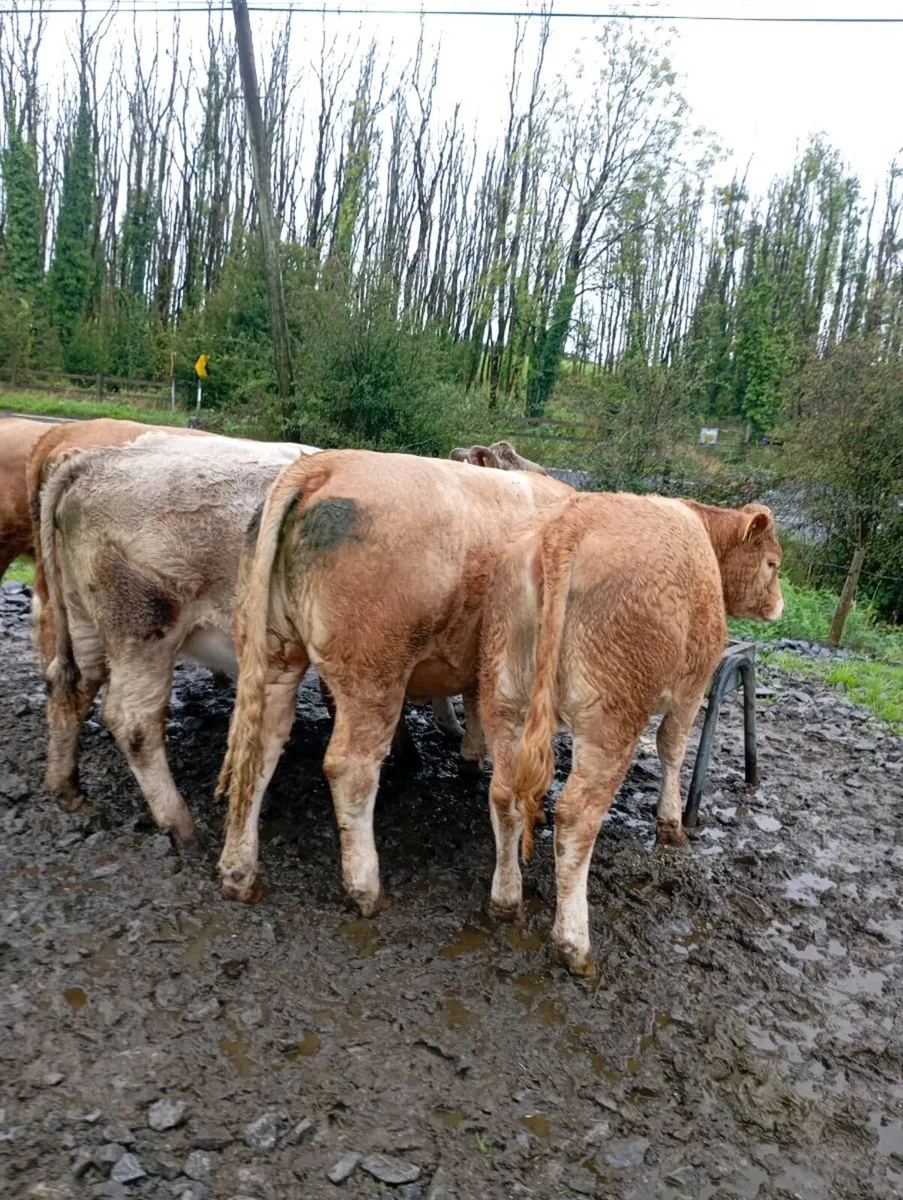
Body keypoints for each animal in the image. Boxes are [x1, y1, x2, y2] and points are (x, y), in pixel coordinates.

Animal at [216, 449, 573, 909]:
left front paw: (472, 757)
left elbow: (476, 703)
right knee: (350, 767)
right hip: (374, 670)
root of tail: (323, 464)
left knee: (257, 747)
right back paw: (366, 888)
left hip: (273, 653)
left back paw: (238, 873)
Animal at [478, 493, 783, 976]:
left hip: (502, 699)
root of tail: (567, 527)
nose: (779, 605)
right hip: (612, 719)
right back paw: (574, 944)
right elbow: (672, 748)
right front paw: (672, 823)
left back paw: (506, 900)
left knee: (504, 796)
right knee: (577, 817)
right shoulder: (690, 688)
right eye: (773, 563)